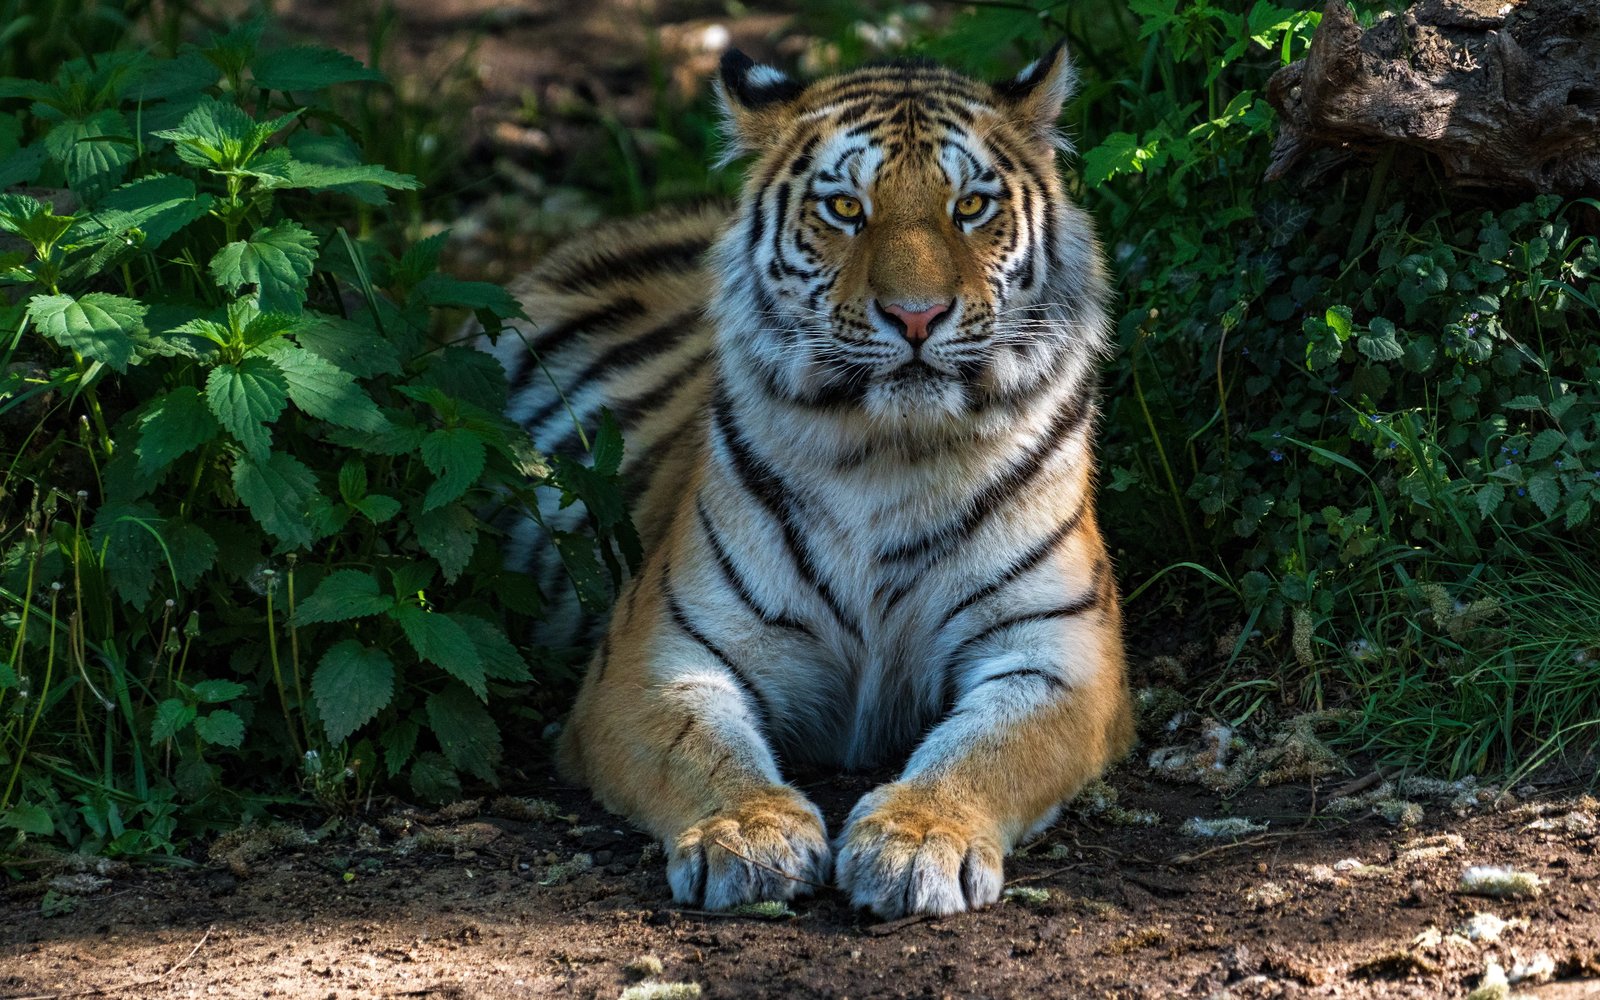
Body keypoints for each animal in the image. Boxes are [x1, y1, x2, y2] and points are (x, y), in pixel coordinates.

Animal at [485, 43, 1135, 919]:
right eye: (845, 209)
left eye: (970, 206)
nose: (917, 316)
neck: (892, 456)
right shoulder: (657, 651)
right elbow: (700, 747)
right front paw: (749, 833)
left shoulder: (1058, 649)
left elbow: (991, 748)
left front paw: (920, 839)